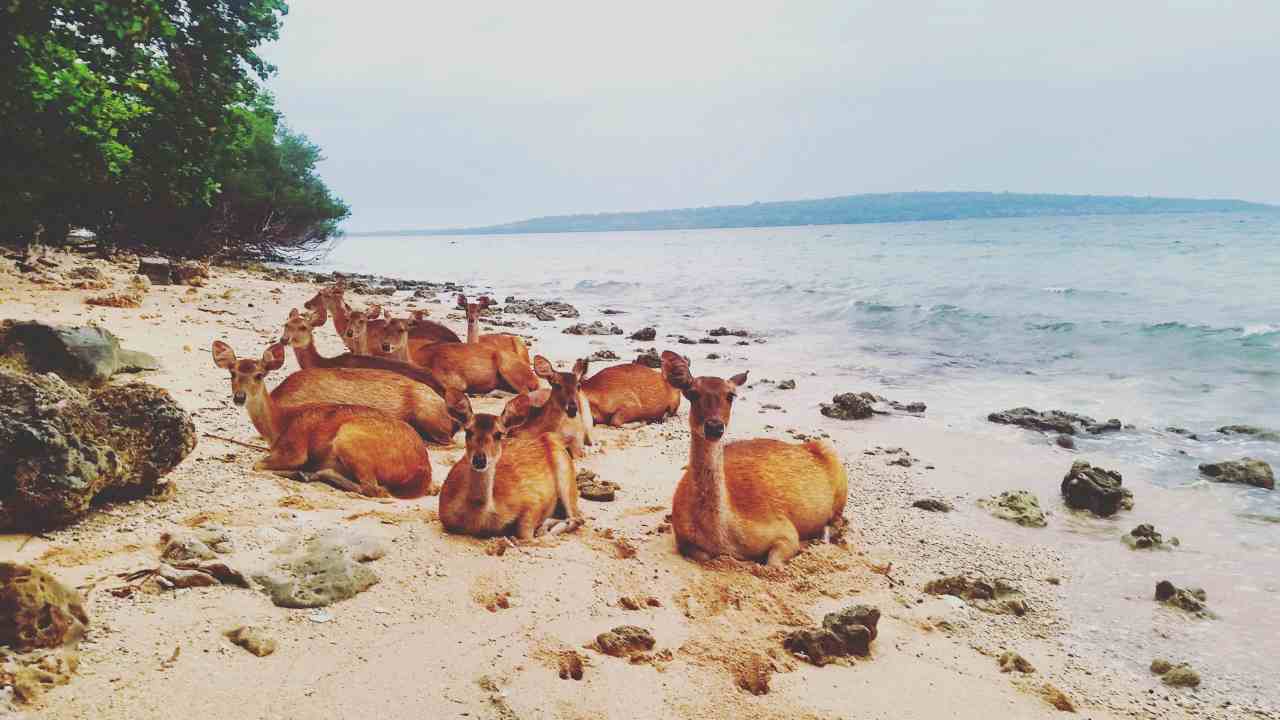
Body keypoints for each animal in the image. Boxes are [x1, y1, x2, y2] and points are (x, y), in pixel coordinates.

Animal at [437, 389, 583, 535]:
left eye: (498, 434)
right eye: (468, 431)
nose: (479, 460)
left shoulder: (534, 499)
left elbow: (524, 532)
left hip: (565, 471)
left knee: (577, 518)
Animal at [660, 351, 849, 563]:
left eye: (731, 395)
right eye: (692, 393)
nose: (714, 427)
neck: (723, 535)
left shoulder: (783, 528)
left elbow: (774, 561)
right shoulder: (682, 537)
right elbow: (703, 555)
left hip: (836, 471)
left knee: (838, 518)